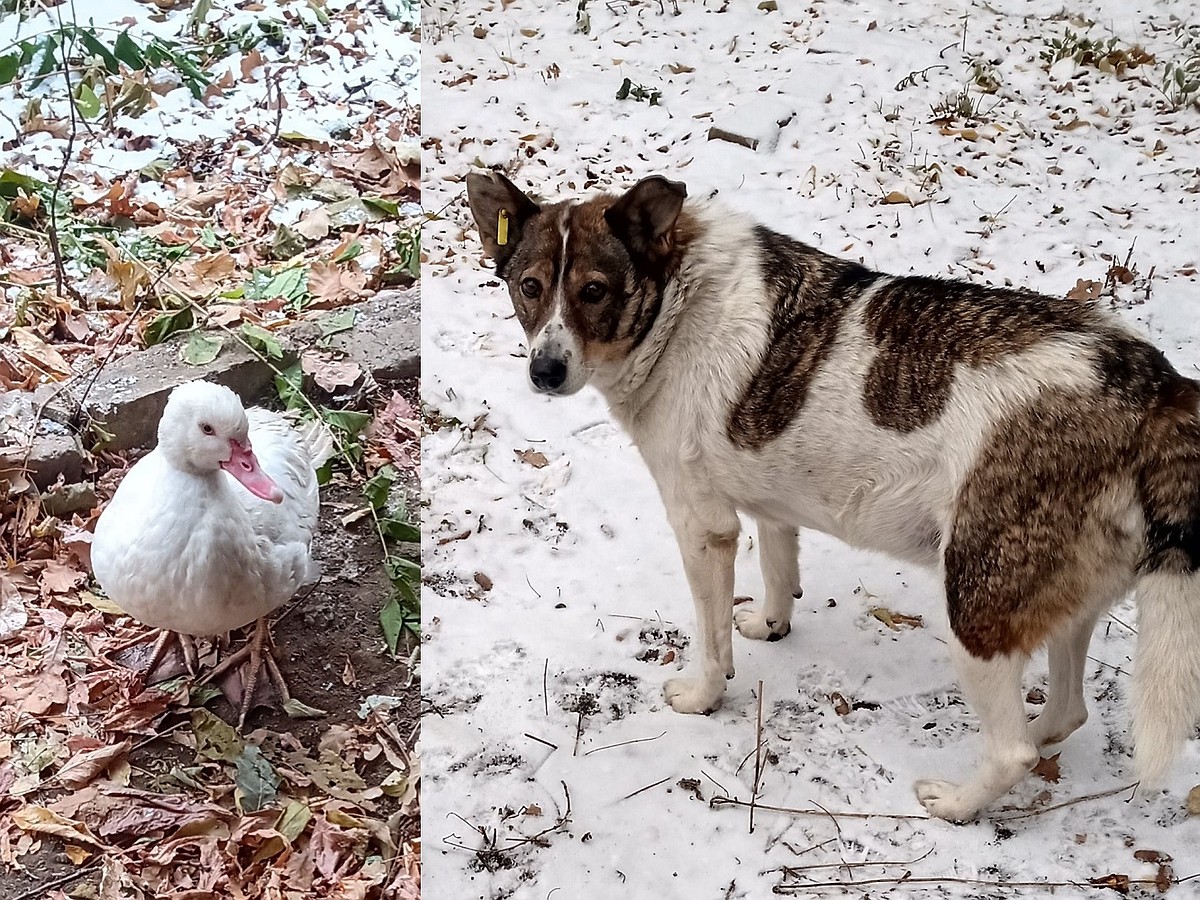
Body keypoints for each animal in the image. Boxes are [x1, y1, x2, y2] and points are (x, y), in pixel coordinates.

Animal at [465, 170, 1200, 825]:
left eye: (593, 292)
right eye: (530, 289)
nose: (545, 371)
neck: (677, 300)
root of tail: (1151, 383)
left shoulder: (702, 526)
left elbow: (710, 639)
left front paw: (703, 696)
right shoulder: (768, 501)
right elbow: (777, 566)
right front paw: (771, 624)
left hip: (976, 601)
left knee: (1012, 748)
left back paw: (958, 804)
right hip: (1061, 594)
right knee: (1068, 709)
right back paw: (1043, 735)